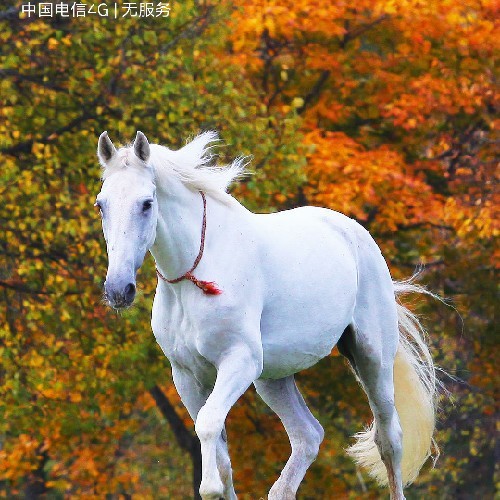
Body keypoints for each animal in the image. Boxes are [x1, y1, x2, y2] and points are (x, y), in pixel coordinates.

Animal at [94, 130, 438, 500]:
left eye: (146, 203)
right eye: (101, 205)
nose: (118, 290)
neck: (197, 273)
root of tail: (353, 232)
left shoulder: (239, 361)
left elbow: (209, 429)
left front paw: (210, 487)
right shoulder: (186, 375)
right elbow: (221, 457)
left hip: (372, 358)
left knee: (389, 439)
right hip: (273, 378)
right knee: (307, 436)